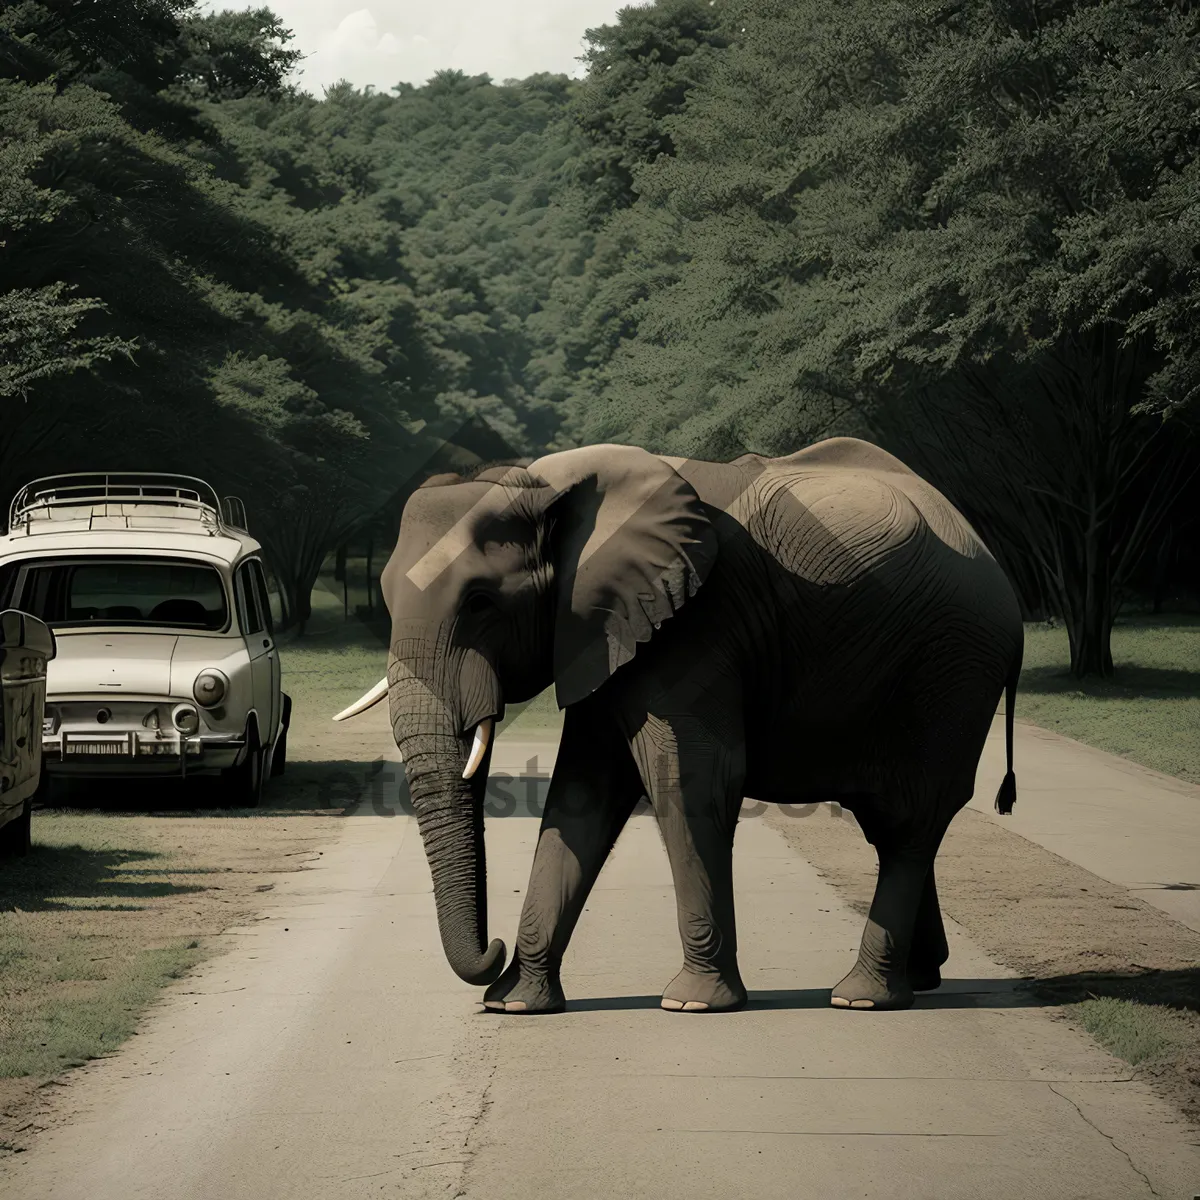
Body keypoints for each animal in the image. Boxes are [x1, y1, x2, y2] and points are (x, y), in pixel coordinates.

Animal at [336, 439, 1022, 1012]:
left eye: (480, 602)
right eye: (386, 599)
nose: (493, 948)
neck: (546, 490)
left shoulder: (695, 624)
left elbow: (693, 777)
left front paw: (692, 1002)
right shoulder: (600, 630)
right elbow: (581, 795)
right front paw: (517, 1005)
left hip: (953, 669)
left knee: (910, 819)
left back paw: (864, 996)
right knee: (889, 823)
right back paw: (921, 977)